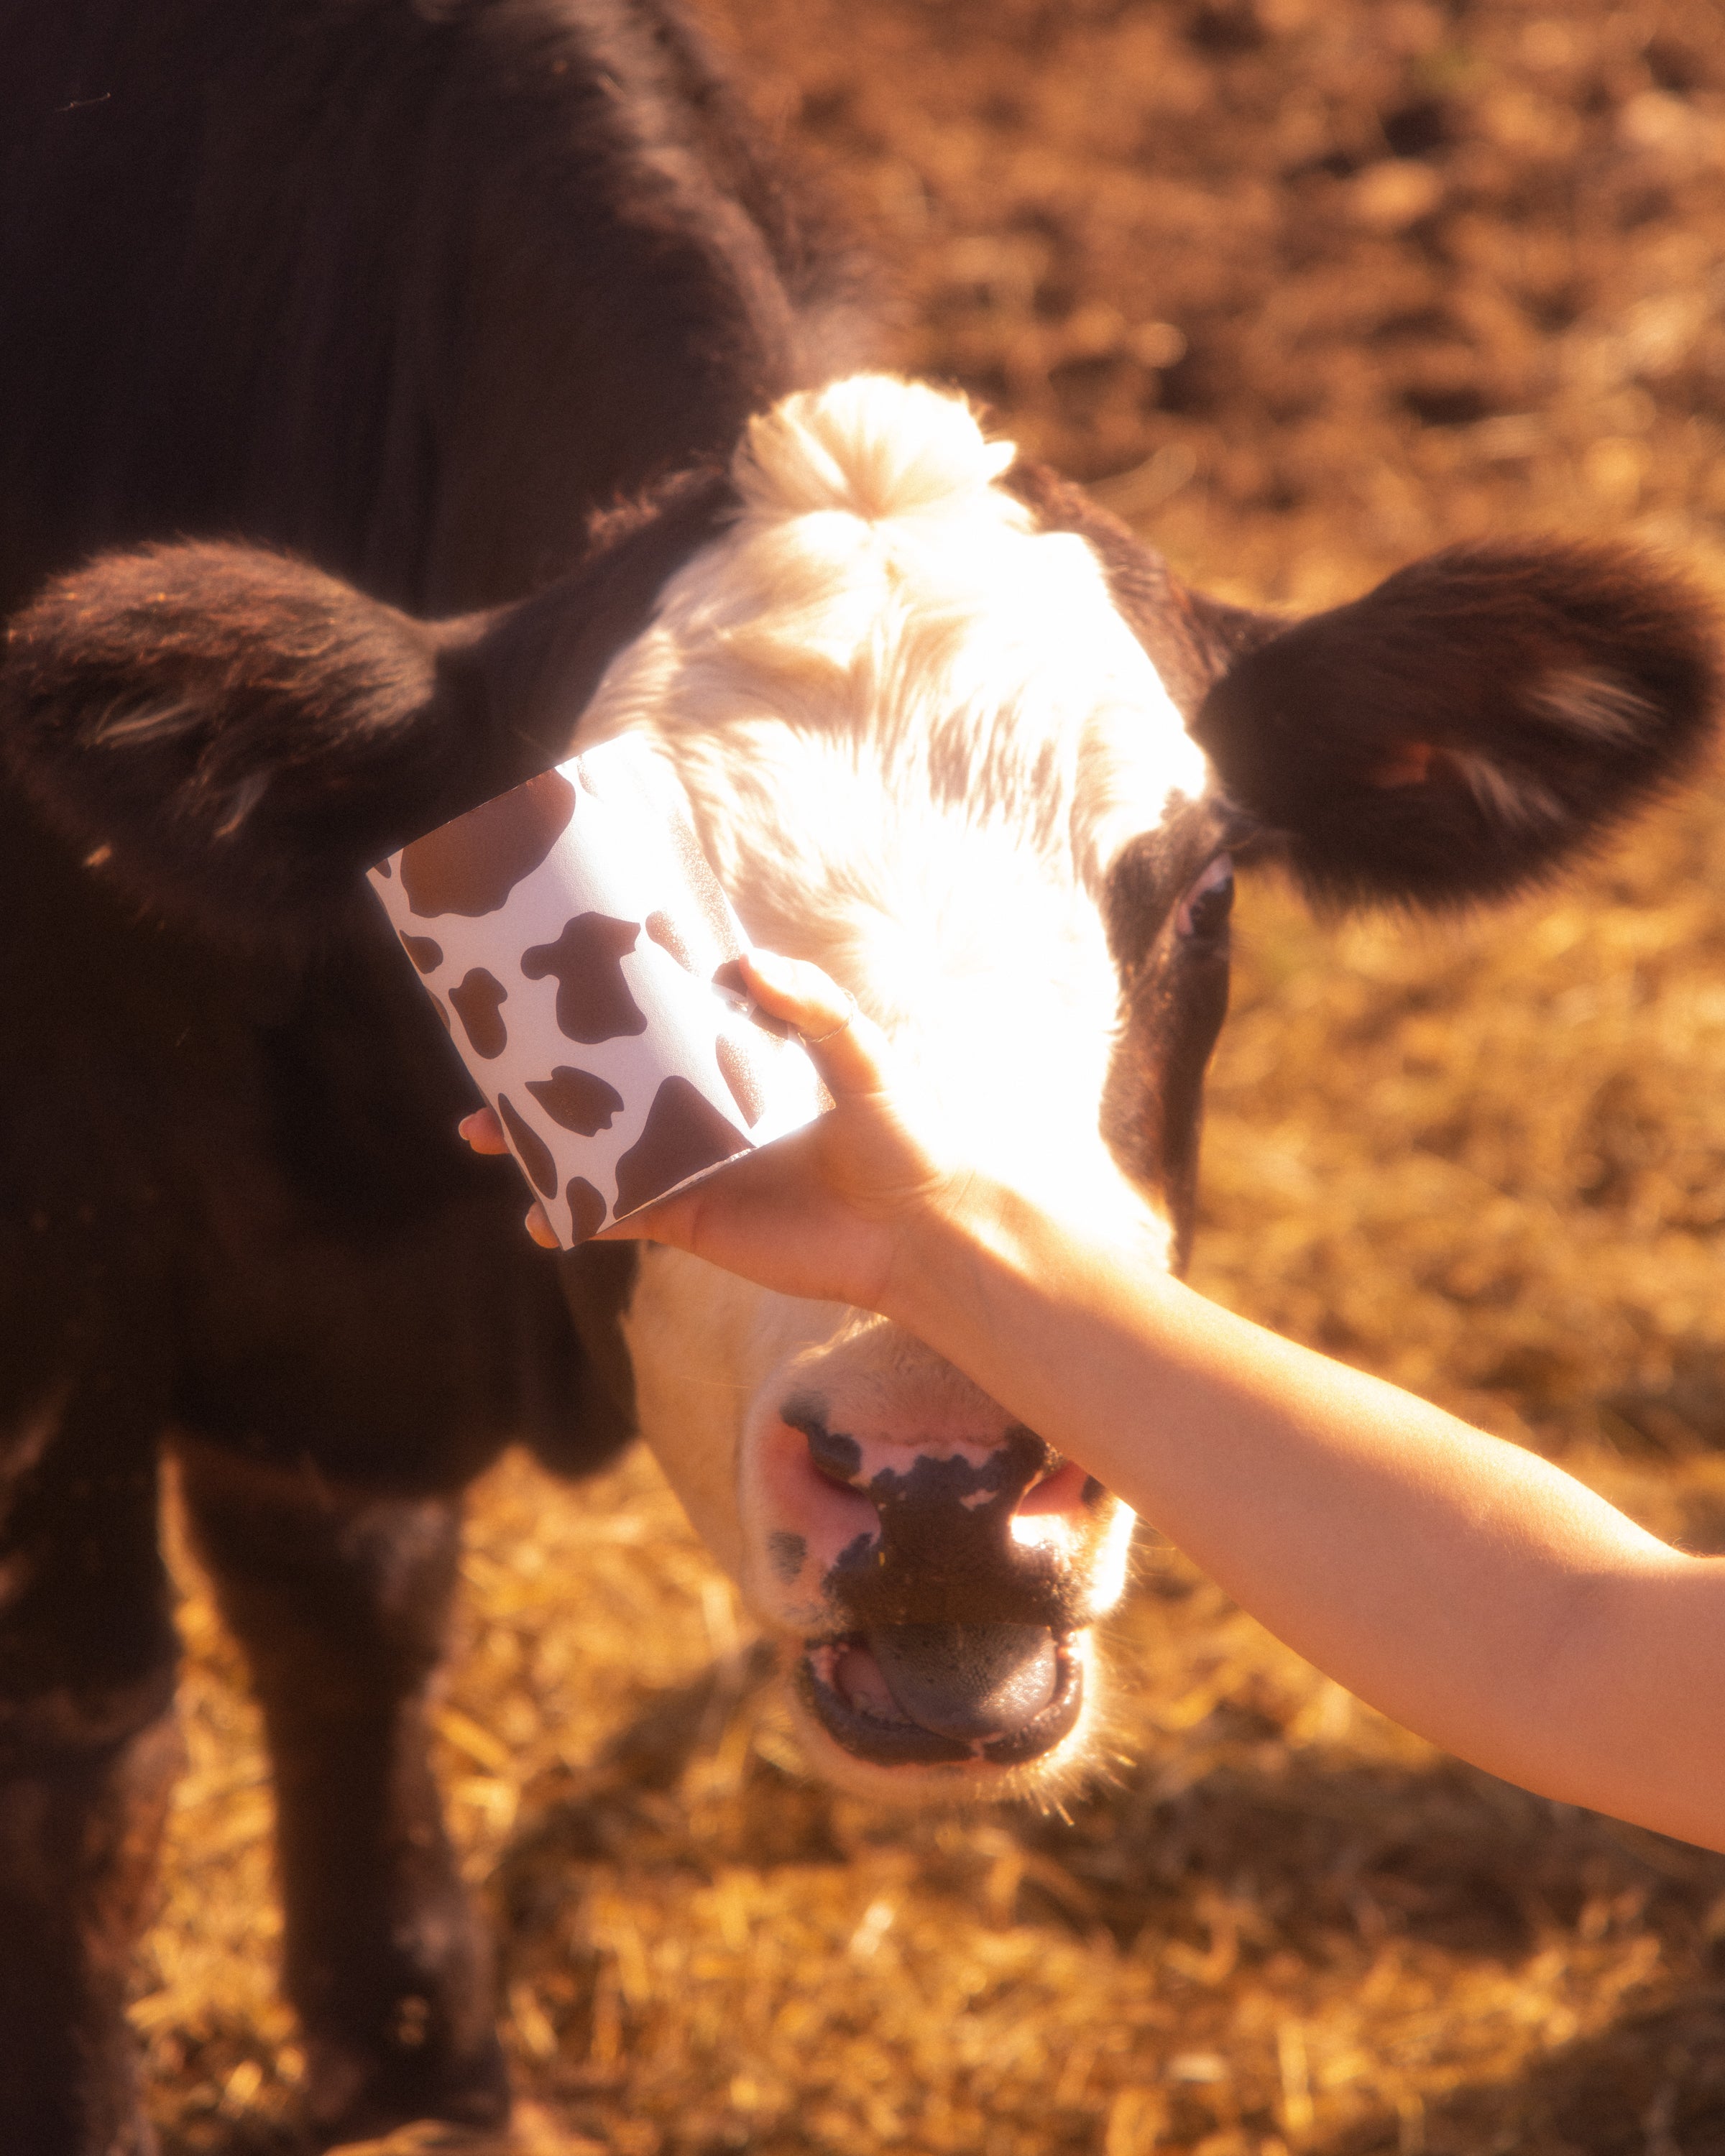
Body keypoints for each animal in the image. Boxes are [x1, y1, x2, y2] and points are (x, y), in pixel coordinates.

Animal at [0, 3, 1716, 2151]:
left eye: (1199, 881)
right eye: (596, 933)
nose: (939, 1478)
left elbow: (351, 1613)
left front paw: (416, 2064)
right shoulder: (65, 1287)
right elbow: (96, 1769)